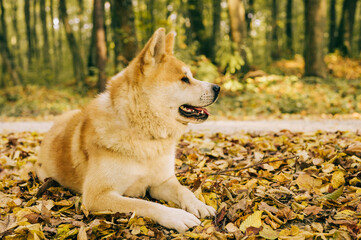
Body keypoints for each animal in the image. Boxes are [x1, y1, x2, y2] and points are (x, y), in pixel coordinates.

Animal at [38, 28, 221, 232]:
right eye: (184, 79)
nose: (217, 88)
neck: (143, 134)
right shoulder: (98, 195)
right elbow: (144, 204)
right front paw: (176, 215)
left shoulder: (162, 182)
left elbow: (184, 190)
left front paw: (199, 204)